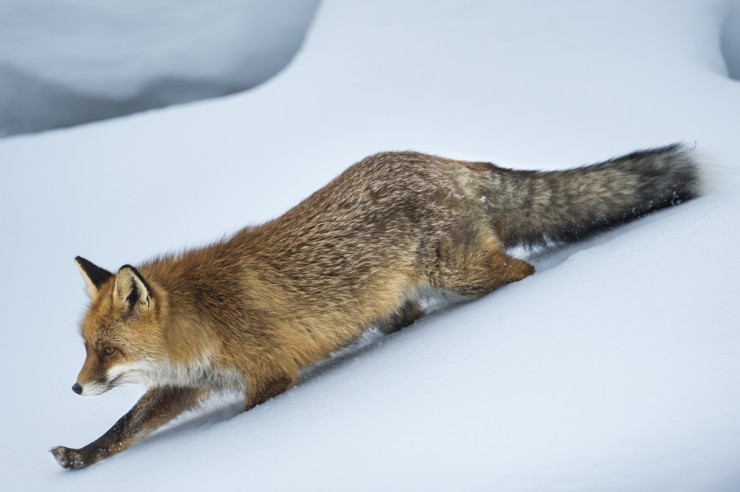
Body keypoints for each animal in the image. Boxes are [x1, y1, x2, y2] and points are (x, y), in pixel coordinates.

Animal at [50, 143, 700, 468]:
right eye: (85, 349)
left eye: (107, 350)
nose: (76, 388)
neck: (203, 316)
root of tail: (444, 160)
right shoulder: (190, 383)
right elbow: (125, 427)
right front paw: (82, 457)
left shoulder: (269, 376)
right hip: (398, 303)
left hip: (464, 273)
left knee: (526, 271)